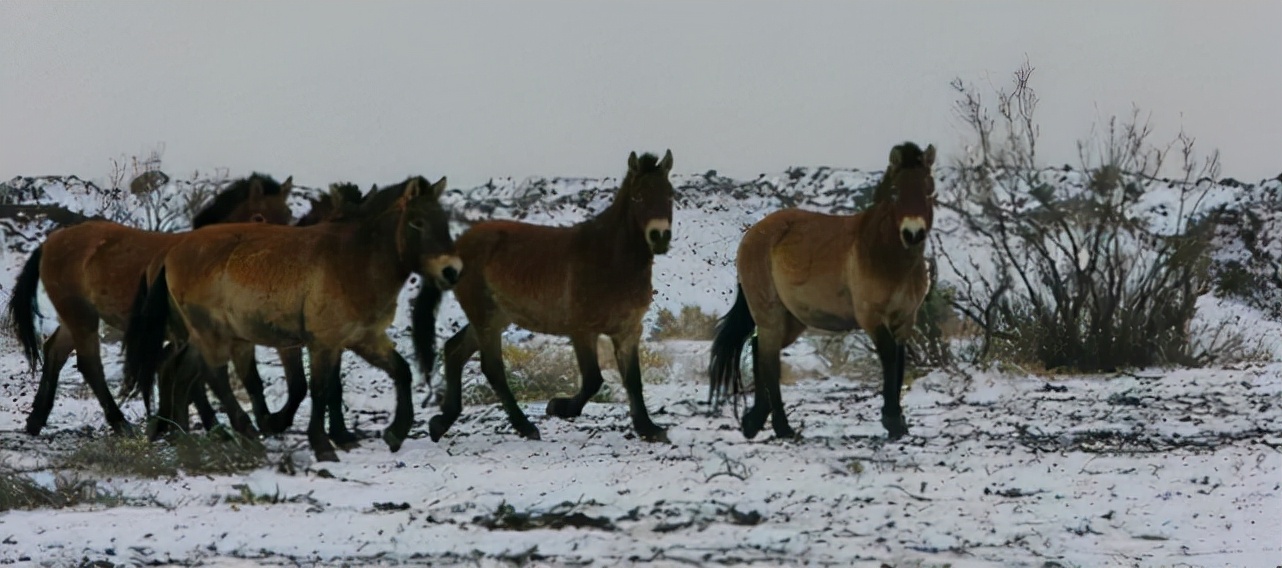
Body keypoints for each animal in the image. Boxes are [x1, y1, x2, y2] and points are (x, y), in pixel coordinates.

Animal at [5, 173, 296, 436]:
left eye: (288, 214)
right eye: (260, 217)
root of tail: (49, 243)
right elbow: (197, 380)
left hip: (74, 317)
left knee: (55, 351)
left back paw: (36, 420)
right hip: (81, 316)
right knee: (90, 364)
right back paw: (120, 423)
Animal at [122, 176, 460, 462]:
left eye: (444, 222)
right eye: (417, 222)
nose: (452, 271)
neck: (353, 260)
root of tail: (170, 252)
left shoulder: (362, 339)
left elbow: (399, 372)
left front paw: (392, 433)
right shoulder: (321, 343)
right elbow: (319, 390)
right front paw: (322, 445)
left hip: (202, 336)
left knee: (183, 375)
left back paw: (188, 436)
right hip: (212, 333)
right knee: (215, 377)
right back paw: (245, 432)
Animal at [434, 150, 674, 443]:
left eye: (670, 194)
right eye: (638, 196)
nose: (660, 236)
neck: (609, 259)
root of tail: (457, 247)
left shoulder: (628, 332)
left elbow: (633, 380)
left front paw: (648, 428)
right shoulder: (582, 330)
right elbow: (593, 379)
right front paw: (560, 407)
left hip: (494, 317)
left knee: (454, 351)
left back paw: (441, 423)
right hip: (485, 317)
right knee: (493, 369)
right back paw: (525, 426)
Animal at [708, 142, 937, 441]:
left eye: (929, 189)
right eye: (896, 191)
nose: (913, 233)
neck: (885, 256)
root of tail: (752, 234)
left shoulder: (905, 319)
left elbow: (899, 360)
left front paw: (899, 421)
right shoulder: (871, 317)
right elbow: (888, 356)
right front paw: (892, 420)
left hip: (792, 320)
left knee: (759, 349)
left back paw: (755, 420)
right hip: (770, 314)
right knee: (769, 361)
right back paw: (782, 427)